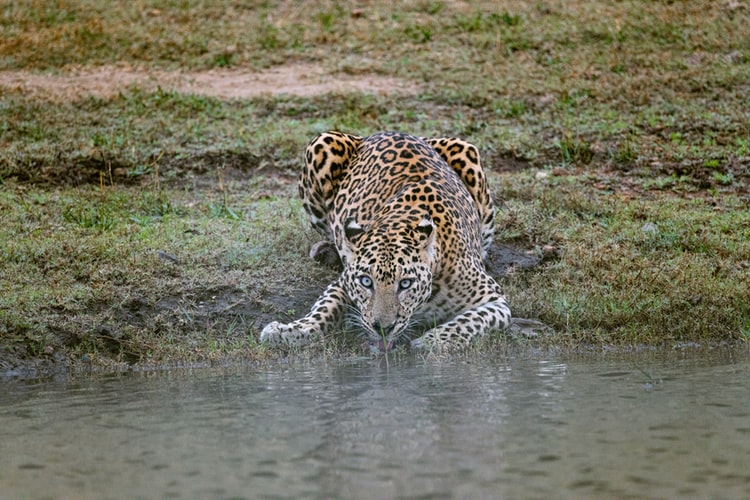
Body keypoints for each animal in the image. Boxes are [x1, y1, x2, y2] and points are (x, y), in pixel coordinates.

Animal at [262, 131, 516, 354]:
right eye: (366, 282)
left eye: (405, 283)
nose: (383, 328)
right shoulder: (342, 283)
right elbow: (323, 309)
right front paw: (289, 331)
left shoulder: (495, 301)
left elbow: (470, 321)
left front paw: (433, 341)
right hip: (321, 145)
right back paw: (327, 251)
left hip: (467, 153)